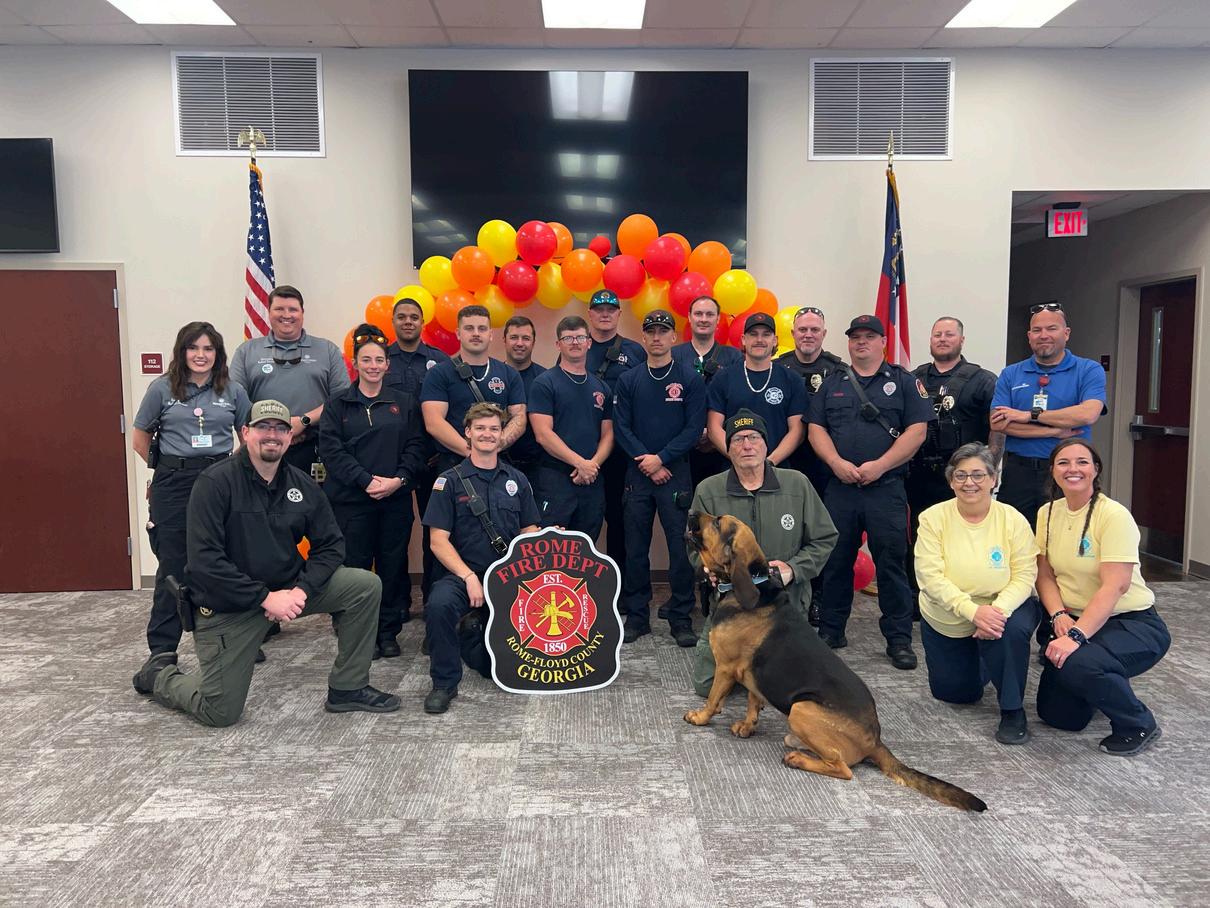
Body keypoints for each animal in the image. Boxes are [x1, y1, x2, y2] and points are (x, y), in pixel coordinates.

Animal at [683, 510, 986, 813]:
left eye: (717, 522)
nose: (691, 511)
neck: (750, 586)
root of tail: (875, 740)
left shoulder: (725, 667)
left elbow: (713, 699)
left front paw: (699, 717)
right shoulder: (753, 676)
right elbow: (752, 703)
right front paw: (747, 727)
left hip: (801, 709)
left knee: (843, 768)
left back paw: (798, 759)